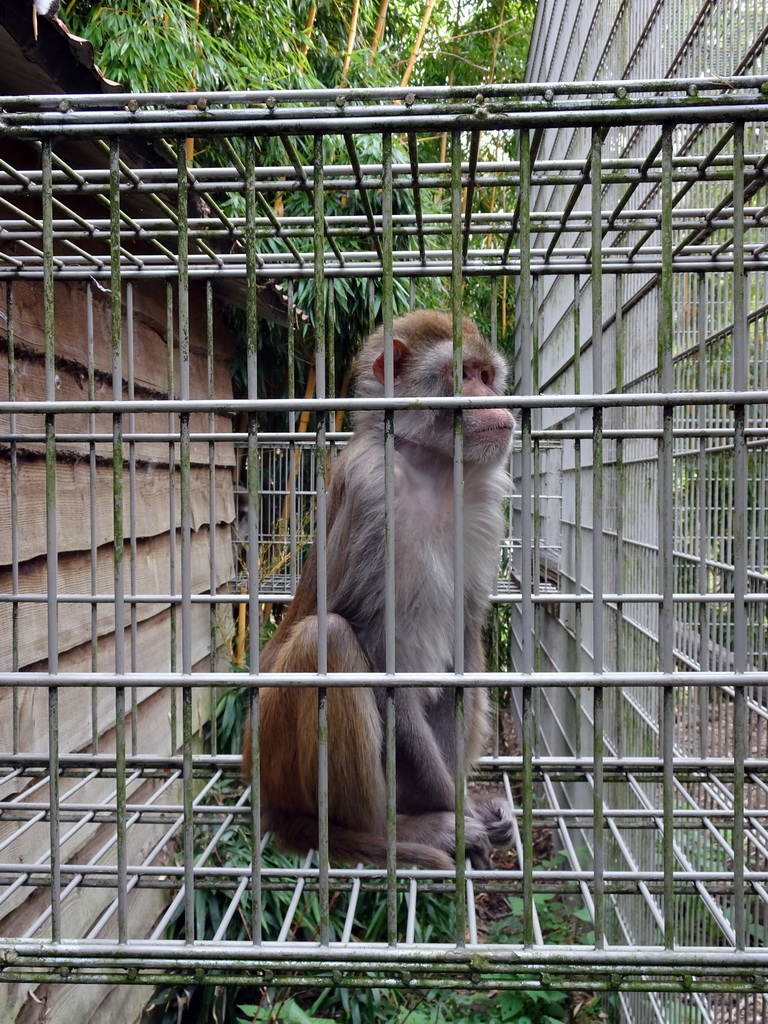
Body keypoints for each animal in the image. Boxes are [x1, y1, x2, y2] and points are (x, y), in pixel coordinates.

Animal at [243, 307, 514, 868]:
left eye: (486, 374)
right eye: (465, 375)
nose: (496, 403)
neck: (431, 470)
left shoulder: (482, 507)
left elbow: (464, 644)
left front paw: (463, 800)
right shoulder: (374, 495)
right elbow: (375, 648)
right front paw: (455, 810)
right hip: (274, 755)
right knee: (329, 640)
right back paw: (394, 831)